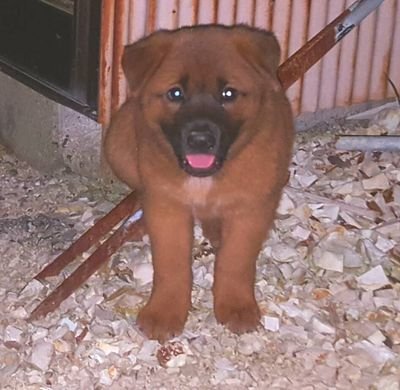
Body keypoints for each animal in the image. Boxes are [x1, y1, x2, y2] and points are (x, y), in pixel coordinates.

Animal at [104, 23, 294, 342]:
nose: (201, 140)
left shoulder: (251, 210)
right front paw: (164, 312)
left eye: (228, 93)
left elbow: (235, 261)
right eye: (175, 93)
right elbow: (171, 266)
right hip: (118, 147)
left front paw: (236, 306)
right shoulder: (167, 209)